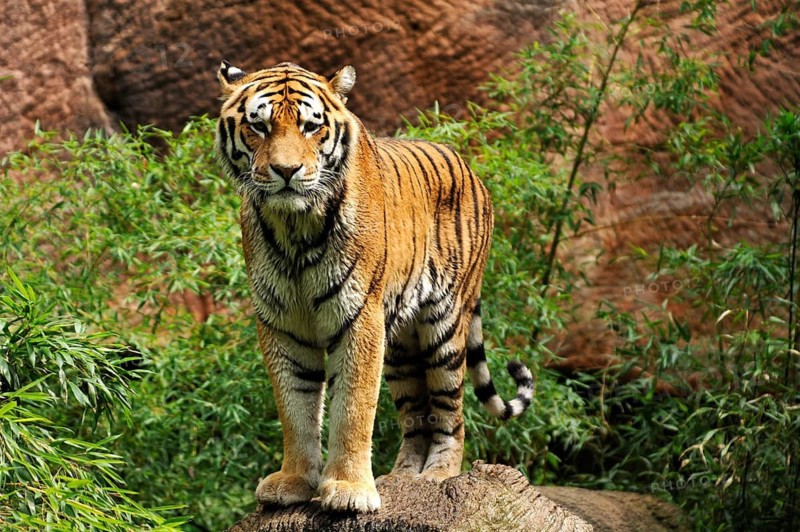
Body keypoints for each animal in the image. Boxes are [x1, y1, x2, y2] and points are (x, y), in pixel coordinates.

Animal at [215, 60, 534, 513]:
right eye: (258, 126)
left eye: (311, 126)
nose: (286, 172)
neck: (294, 225)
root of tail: (470, 167)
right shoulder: (282, 323)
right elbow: (295, 407)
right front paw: (294, 481)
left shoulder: (358, 316)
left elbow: (353, 407)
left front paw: (349, 490)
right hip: (400, 345)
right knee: (417, 415)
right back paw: (400, 477)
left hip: (444, 327)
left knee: (450, 413)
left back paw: (438, 476)